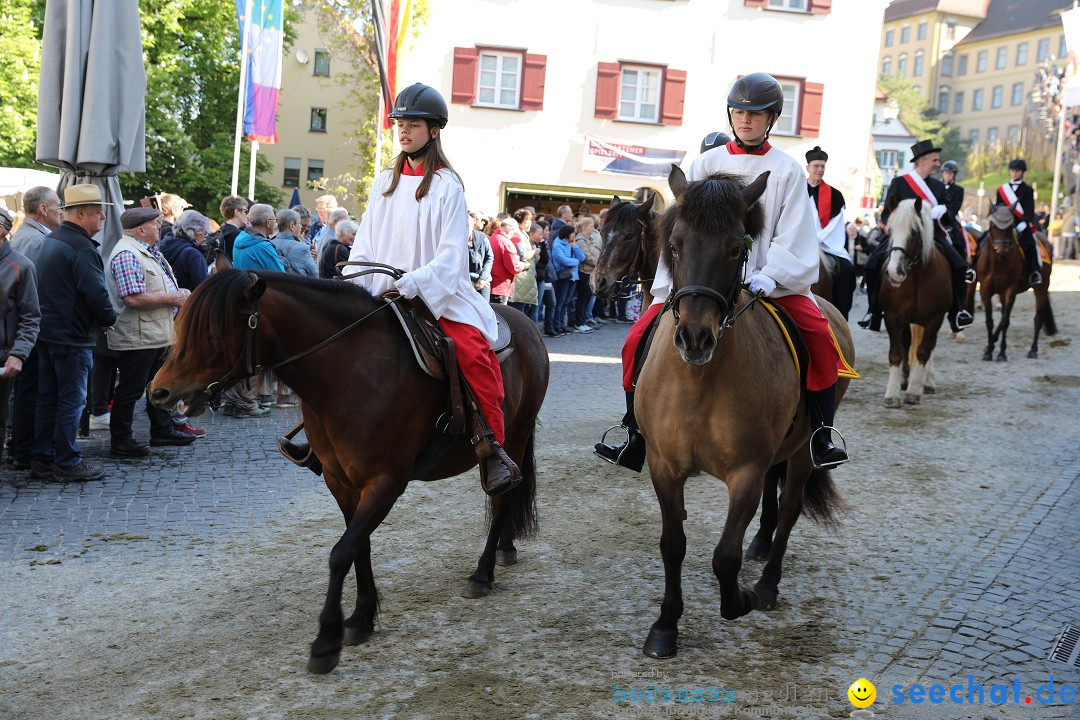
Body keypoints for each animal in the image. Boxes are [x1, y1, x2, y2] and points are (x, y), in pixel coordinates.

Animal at [147, 269, 548, 677]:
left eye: (211, 333)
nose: (158, 392)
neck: (349, 374)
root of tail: (525, 321)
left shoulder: (385, 482)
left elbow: (341, 553)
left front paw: (326, 640)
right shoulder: (341, 482)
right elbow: (359, 546)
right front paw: (361, 617)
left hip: (516, 435)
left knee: (503, 500)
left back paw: (482, 573)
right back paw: (505, 548)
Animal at [630, 167, 851, 660]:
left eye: (736, 247)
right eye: (675, 244)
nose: (695, 338)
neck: (699, 383)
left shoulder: (745, 472)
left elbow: (724, 556)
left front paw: (741, 600)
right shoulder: (663, 467)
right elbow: (673, 545)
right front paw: (665, 626)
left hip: (803, 452)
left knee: (789, 508)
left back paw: (767, 583)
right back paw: (762, 544)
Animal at [876, 197, 954, 408]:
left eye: (914, 232)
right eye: (891, 230)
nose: (894, 272)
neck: (917, 278)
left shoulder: (935, 318)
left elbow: (923, 351)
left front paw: (913, 392)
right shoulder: (893, 317)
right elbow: (896, 353)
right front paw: (892, 395)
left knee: (929, 347)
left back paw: (926, 382)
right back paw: (905, 379)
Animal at [972, 208, 1054, 362]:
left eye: (1010, 228)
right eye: (992, 226)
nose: (1002, 252)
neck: (997, 263)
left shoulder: (1010, 290)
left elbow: (1005, 321)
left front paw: (1001, 353)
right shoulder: (985, 290)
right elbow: (990, 321)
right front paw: (989, 351)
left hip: (1041, 287)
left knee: (1037, 318)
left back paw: (1033, 350)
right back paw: (991, 343)